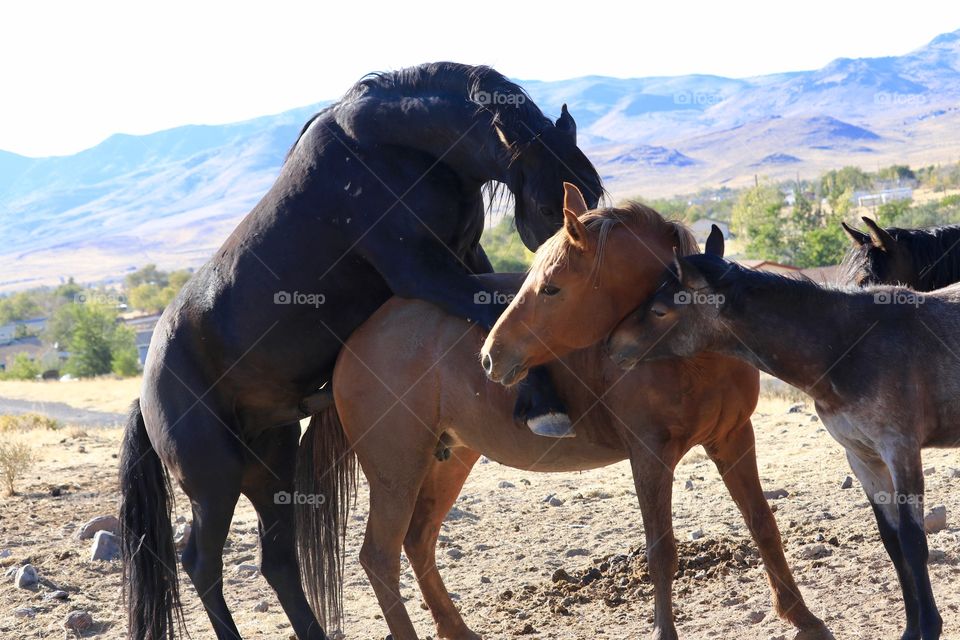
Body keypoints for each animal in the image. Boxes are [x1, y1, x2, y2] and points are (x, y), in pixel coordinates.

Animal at [118, 61, 600, 640]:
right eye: (552, 203)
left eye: (594, 194)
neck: (394, 149)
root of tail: (146, 393)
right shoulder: (424, 271)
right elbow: (493, 311)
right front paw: (543, 402)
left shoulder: (465, 255)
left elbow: (500, 310)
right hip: (215, 486)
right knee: (201, 563)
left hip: (271, 472)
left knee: (277, 561)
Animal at [306, 185, 832, 640]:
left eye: (552, 288)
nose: (491, 356)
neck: (690, 352)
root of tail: (351, 345)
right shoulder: (650, 455)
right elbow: (661, 550)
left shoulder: (735, 437)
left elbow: (763, 524)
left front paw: (803, 616)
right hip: (397, 472)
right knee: (379, 557)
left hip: (449, 459)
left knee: (417, 541)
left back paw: (458, 630)